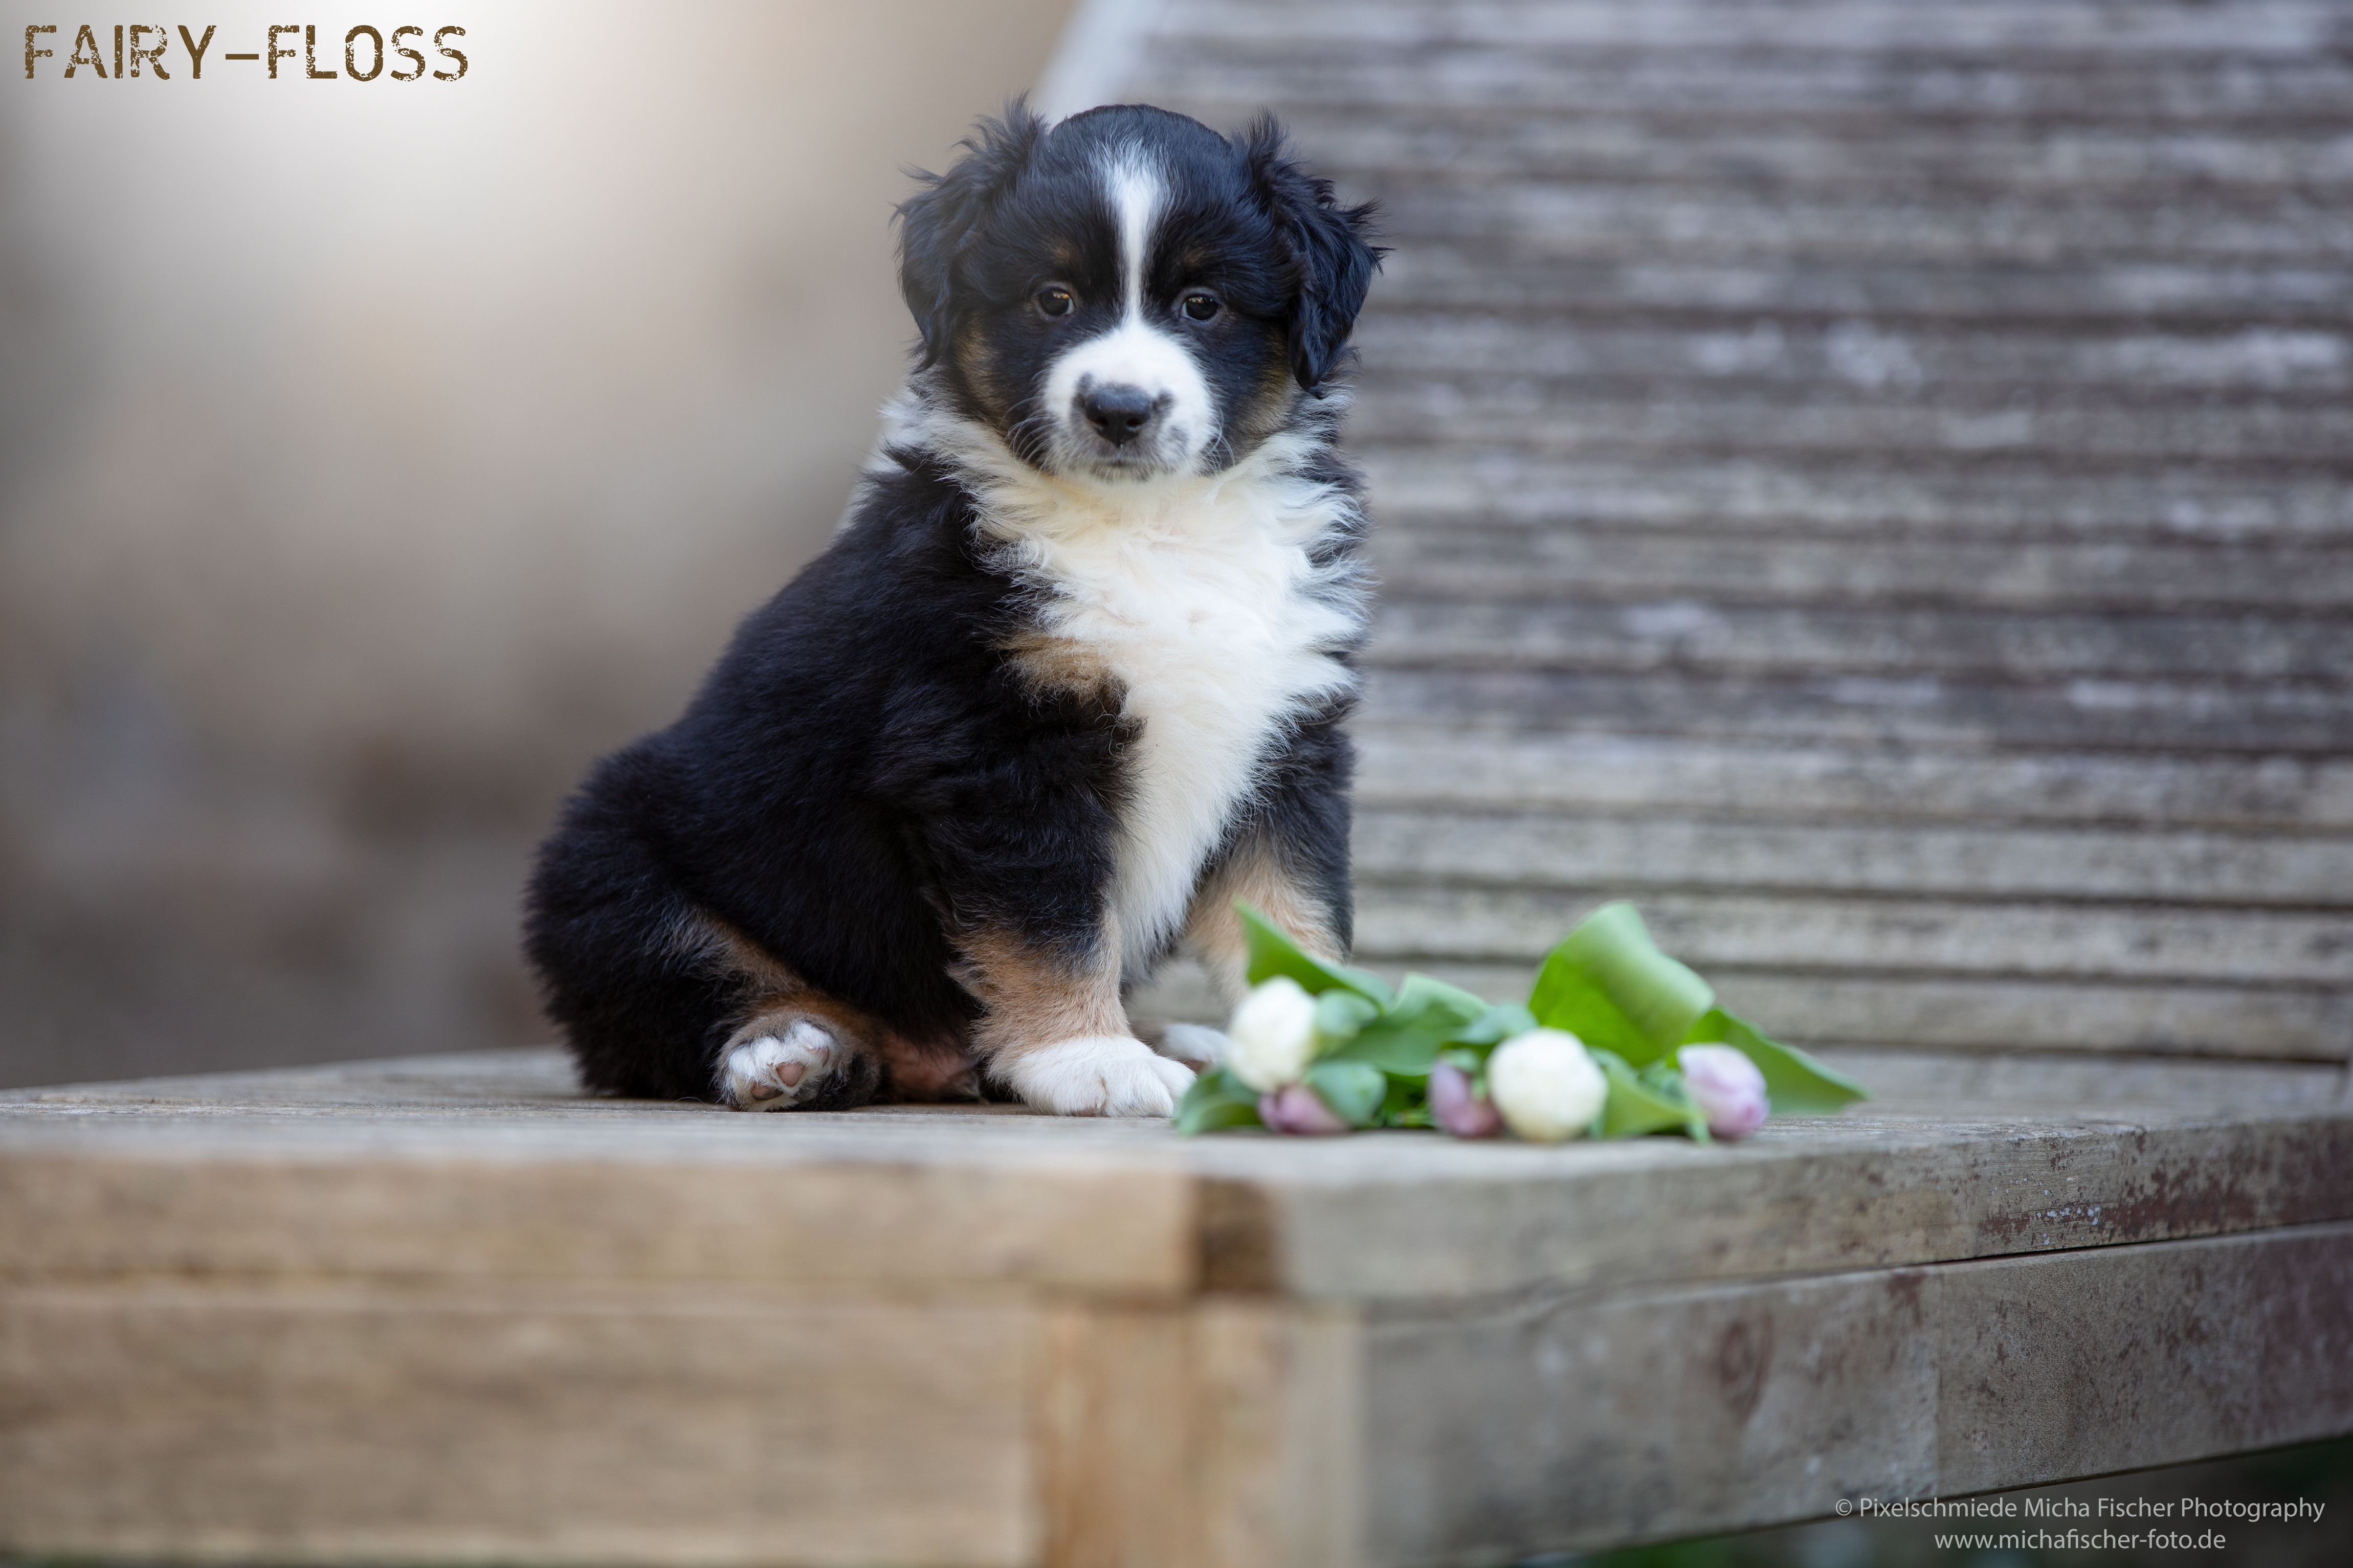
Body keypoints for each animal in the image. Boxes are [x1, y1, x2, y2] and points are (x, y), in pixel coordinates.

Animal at [520, 104, 1374, 1114]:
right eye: (1053, 299)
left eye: (1203, 305)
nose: (1120, 408)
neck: (1152, 527)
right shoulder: (996, 744)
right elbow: (1050, 926)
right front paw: (1092, 1058)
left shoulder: (1290, 744)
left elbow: (1292, 917)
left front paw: (1326, 1047)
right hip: (605, 860)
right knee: (672, 989)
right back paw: (786, 1051)